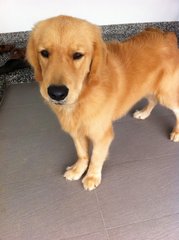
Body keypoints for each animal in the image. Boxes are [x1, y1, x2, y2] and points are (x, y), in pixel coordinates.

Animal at [26, 15, 179, 190]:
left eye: (78, 55)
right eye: (44, 53)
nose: (56, 93)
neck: (83, 96)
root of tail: (167, 35)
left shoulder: (102, 135)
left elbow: (96, 157)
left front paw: (92, 176)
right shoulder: (76, 131)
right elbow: (82, 153)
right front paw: (78, 169)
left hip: (166, 94)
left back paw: (176, 132)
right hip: (148, 88)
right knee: (153, 100)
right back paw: (143, 113)